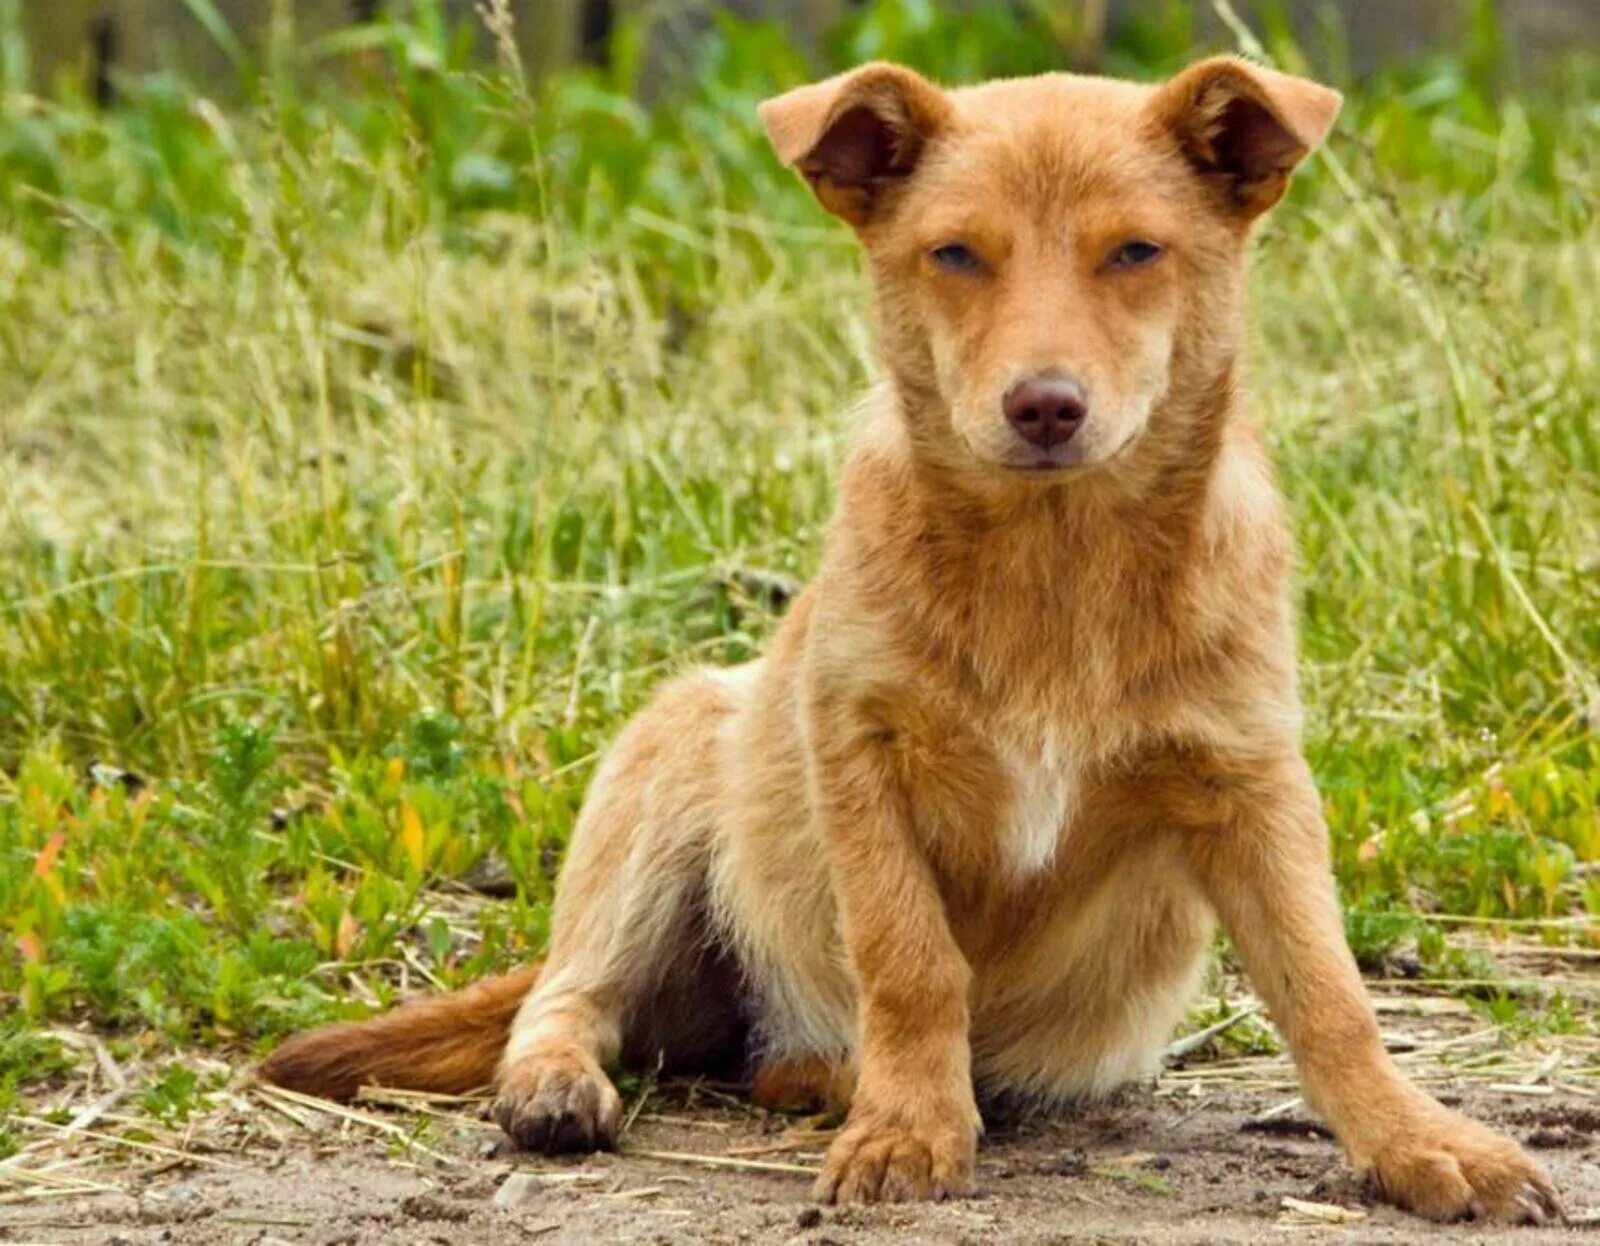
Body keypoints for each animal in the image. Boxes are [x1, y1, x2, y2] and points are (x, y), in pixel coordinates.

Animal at [262, 53, 1561, 1222]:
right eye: (956, 254)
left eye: (1136, 252)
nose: (1044, 406)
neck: (1053, 566)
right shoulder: (857, 749)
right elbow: (910, 959)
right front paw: (909, 1127)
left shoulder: (1250, 779)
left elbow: (1326, 988)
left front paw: (1416, 1142)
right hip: (668, 763)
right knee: (572, 992)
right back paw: (575, 1085)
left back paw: (807, 1073)